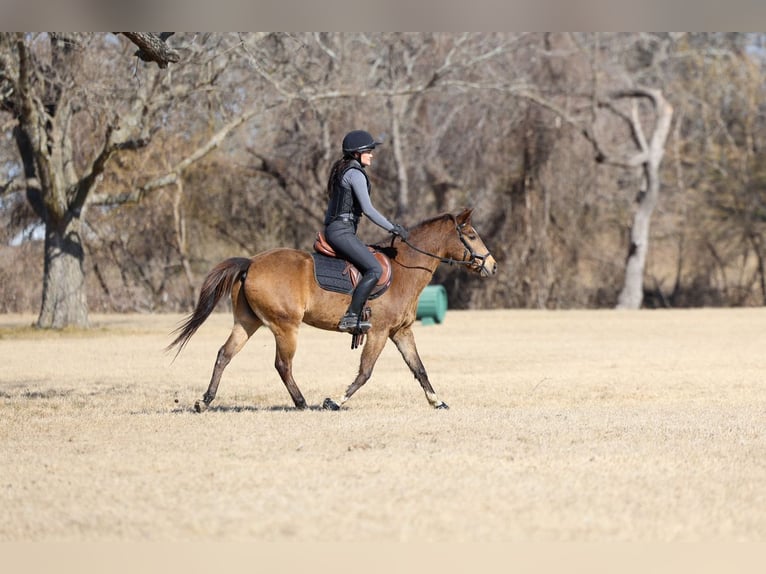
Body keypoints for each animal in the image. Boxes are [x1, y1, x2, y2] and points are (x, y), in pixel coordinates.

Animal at [167, 208, 497, 411]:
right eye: (471, 236)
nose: (492, 266)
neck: (405, 269)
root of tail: (252, 262)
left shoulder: (400, 332)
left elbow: (419, 368)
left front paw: (437, 401)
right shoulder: (378, 332)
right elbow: (365, 372)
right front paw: (335, 401)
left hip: (247, 323)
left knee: (224, 354)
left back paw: (204, 401)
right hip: (286, 327)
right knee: (282, 365)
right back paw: (302, 403)